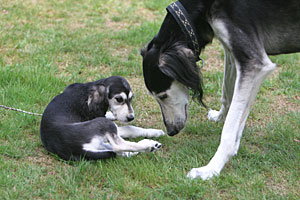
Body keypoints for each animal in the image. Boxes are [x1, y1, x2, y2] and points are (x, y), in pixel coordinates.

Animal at [141, 0, 300, 180]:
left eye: (163, 96)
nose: (171, 131)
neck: (203, 6)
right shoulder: (231, 52)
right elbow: (229, 97)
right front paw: (220, 118)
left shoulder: (255, 64)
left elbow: (229, 129)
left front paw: (211, 169)